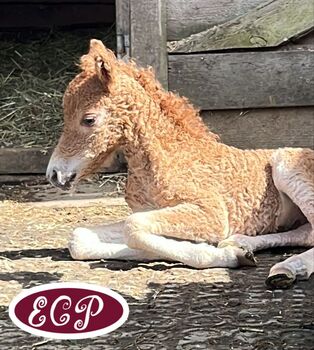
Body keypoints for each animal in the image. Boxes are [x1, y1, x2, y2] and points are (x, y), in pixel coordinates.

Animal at [45, 39, 312, 288]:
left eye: (89, 119)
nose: (54, 174)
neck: (167, 158)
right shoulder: (150, 211)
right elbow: (80, 238)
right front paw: (230, 252)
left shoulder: (212, 214)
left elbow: (132, 228)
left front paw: (223, 254)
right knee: (306, 233)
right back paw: (243, 245)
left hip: (287, 166)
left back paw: (285, 269)